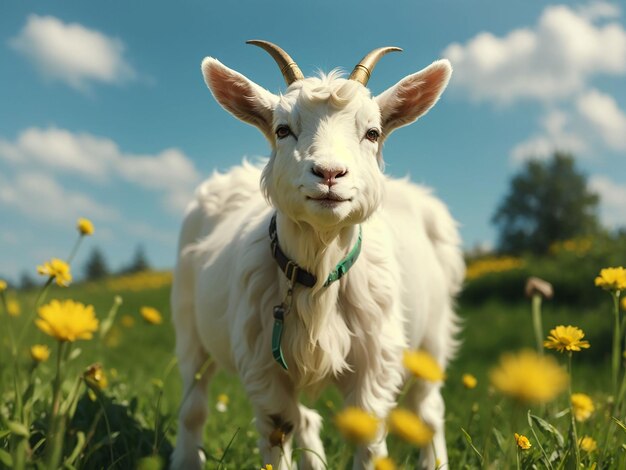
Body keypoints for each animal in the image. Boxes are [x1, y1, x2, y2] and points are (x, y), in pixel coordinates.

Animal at [171, 41, 464, 470]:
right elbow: (279, 430)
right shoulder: (265, 369)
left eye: (372, 133)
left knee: (428, 410)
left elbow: (368, 440)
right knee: (195, 405)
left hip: (432, 337)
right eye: (282, 129)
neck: (319, 269)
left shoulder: (374, 364)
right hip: (190, 325)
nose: (329, 173)